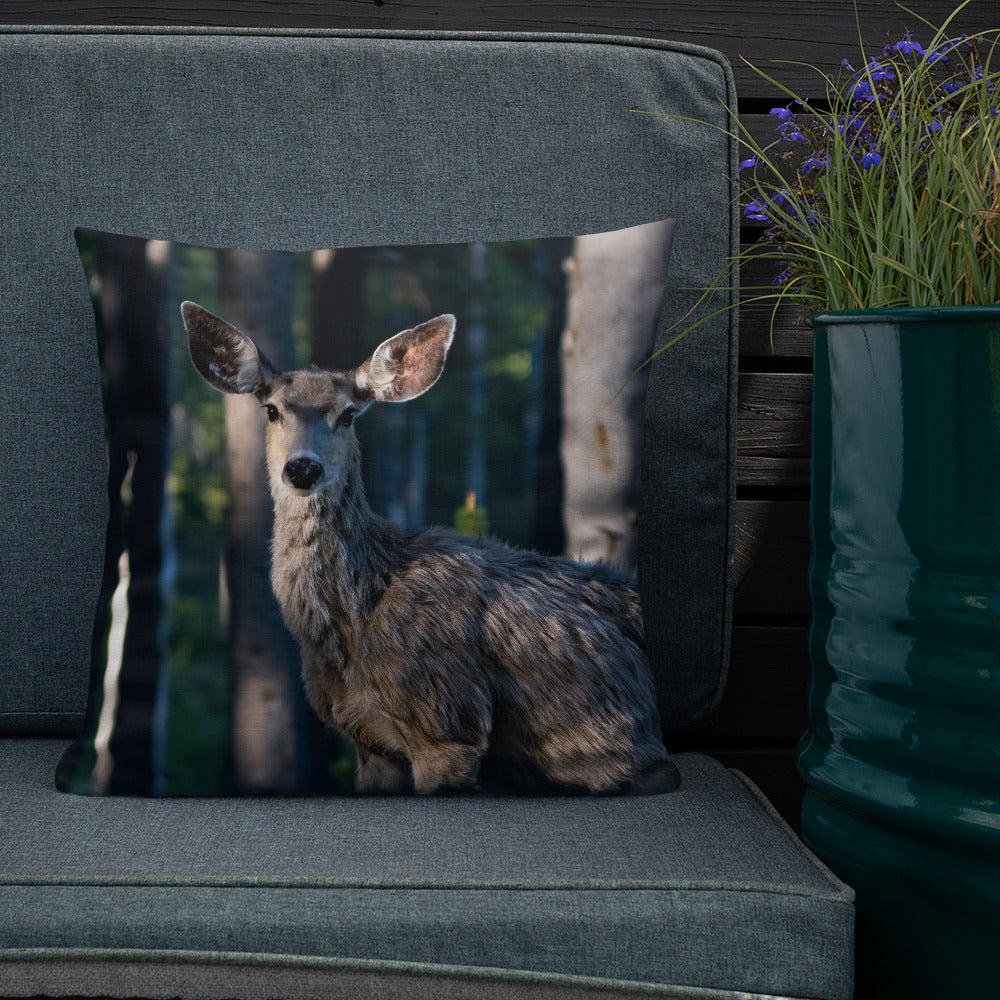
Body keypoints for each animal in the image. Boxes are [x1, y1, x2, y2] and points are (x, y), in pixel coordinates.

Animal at [182, 301, 680, 796]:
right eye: (271, 409)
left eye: (347, 414)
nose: (303, 467)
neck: (355, 617)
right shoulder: (369, 742)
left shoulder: (449, 720)